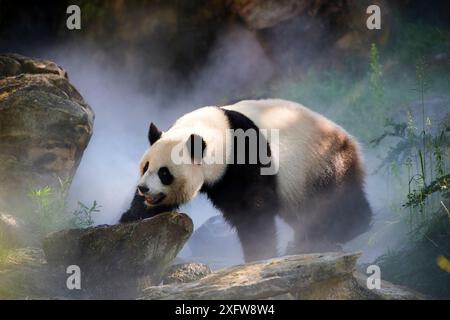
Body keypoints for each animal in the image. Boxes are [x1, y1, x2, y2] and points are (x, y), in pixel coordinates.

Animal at [118, 99, 370, 262]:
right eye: (145, 167)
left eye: (164, 173)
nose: (143, 188)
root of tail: (352, 143)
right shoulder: (222, 177)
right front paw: (131, 217)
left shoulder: (247, 155)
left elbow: (254, 206)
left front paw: (260, 252)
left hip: (319, 163)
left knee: (333, 201)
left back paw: (343, 229)